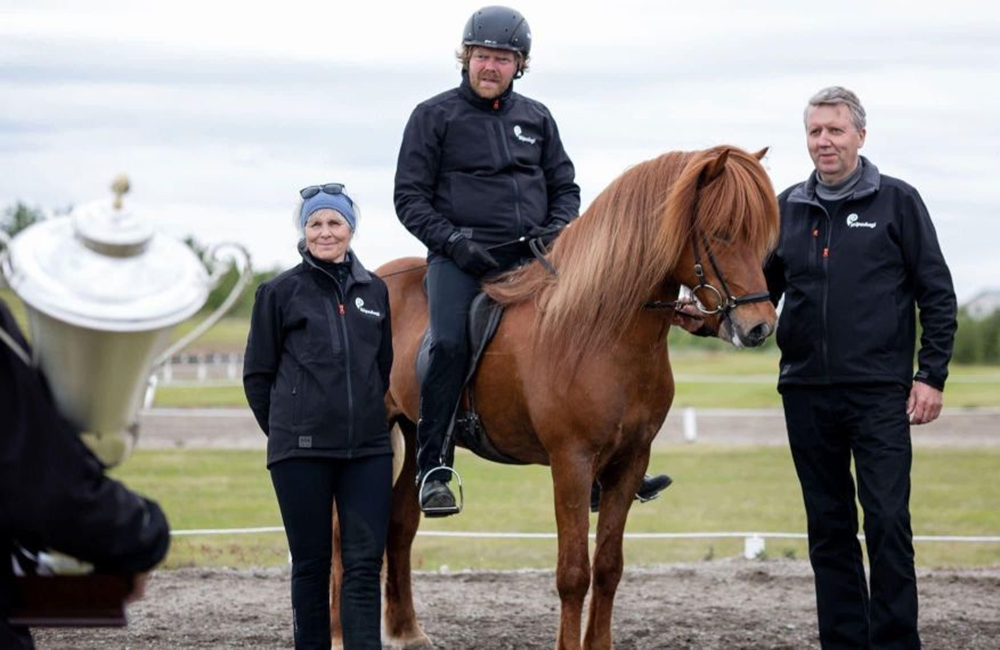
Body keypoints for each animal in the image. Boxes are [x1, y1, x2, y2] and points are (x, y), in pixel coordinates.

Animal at [336, 144, 780, 644]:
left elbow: (608, 567)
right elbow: (573, 573)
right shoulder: (571, 462)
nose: (760, 326)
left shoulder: (630, 461)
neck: (599, 329)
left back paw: (407, 630)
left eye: (760, 238)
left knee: (400, 524)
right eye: (722, 233)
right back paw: (337, 633)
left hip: (416, 434)